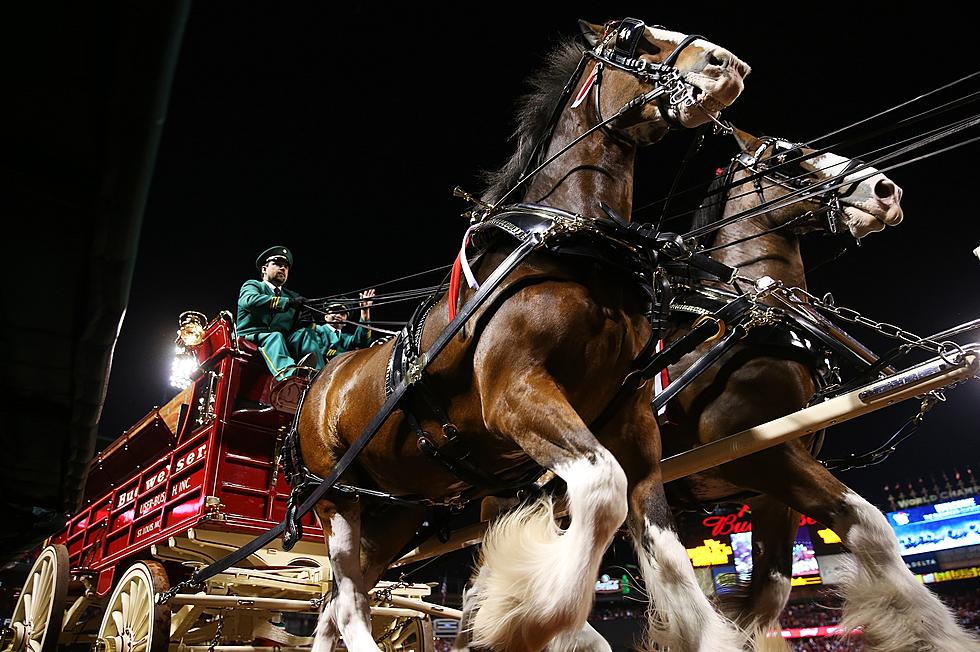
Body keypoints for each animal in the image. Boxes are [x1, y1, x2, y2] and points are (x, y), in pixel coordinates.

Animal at [298, 19, 752, 652]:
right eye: (632, 36)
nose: (727, 64)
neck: (576, 249)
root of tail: (321, 384)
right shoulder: (516, 393)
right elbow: (602, 490)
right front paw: (534, 614)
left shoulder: (631, 422)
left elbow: (670, 558)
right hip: (337, 500)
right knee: (345, 599)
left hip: (396, 510)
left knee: (340, 599)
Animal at [668, 130, 980, 648]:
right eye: (790, 155)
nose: (886, 191)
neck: (757, 319)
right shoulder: (758, 454)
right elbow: (870, 528)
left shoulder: (769, 491)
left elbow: (768, 595)